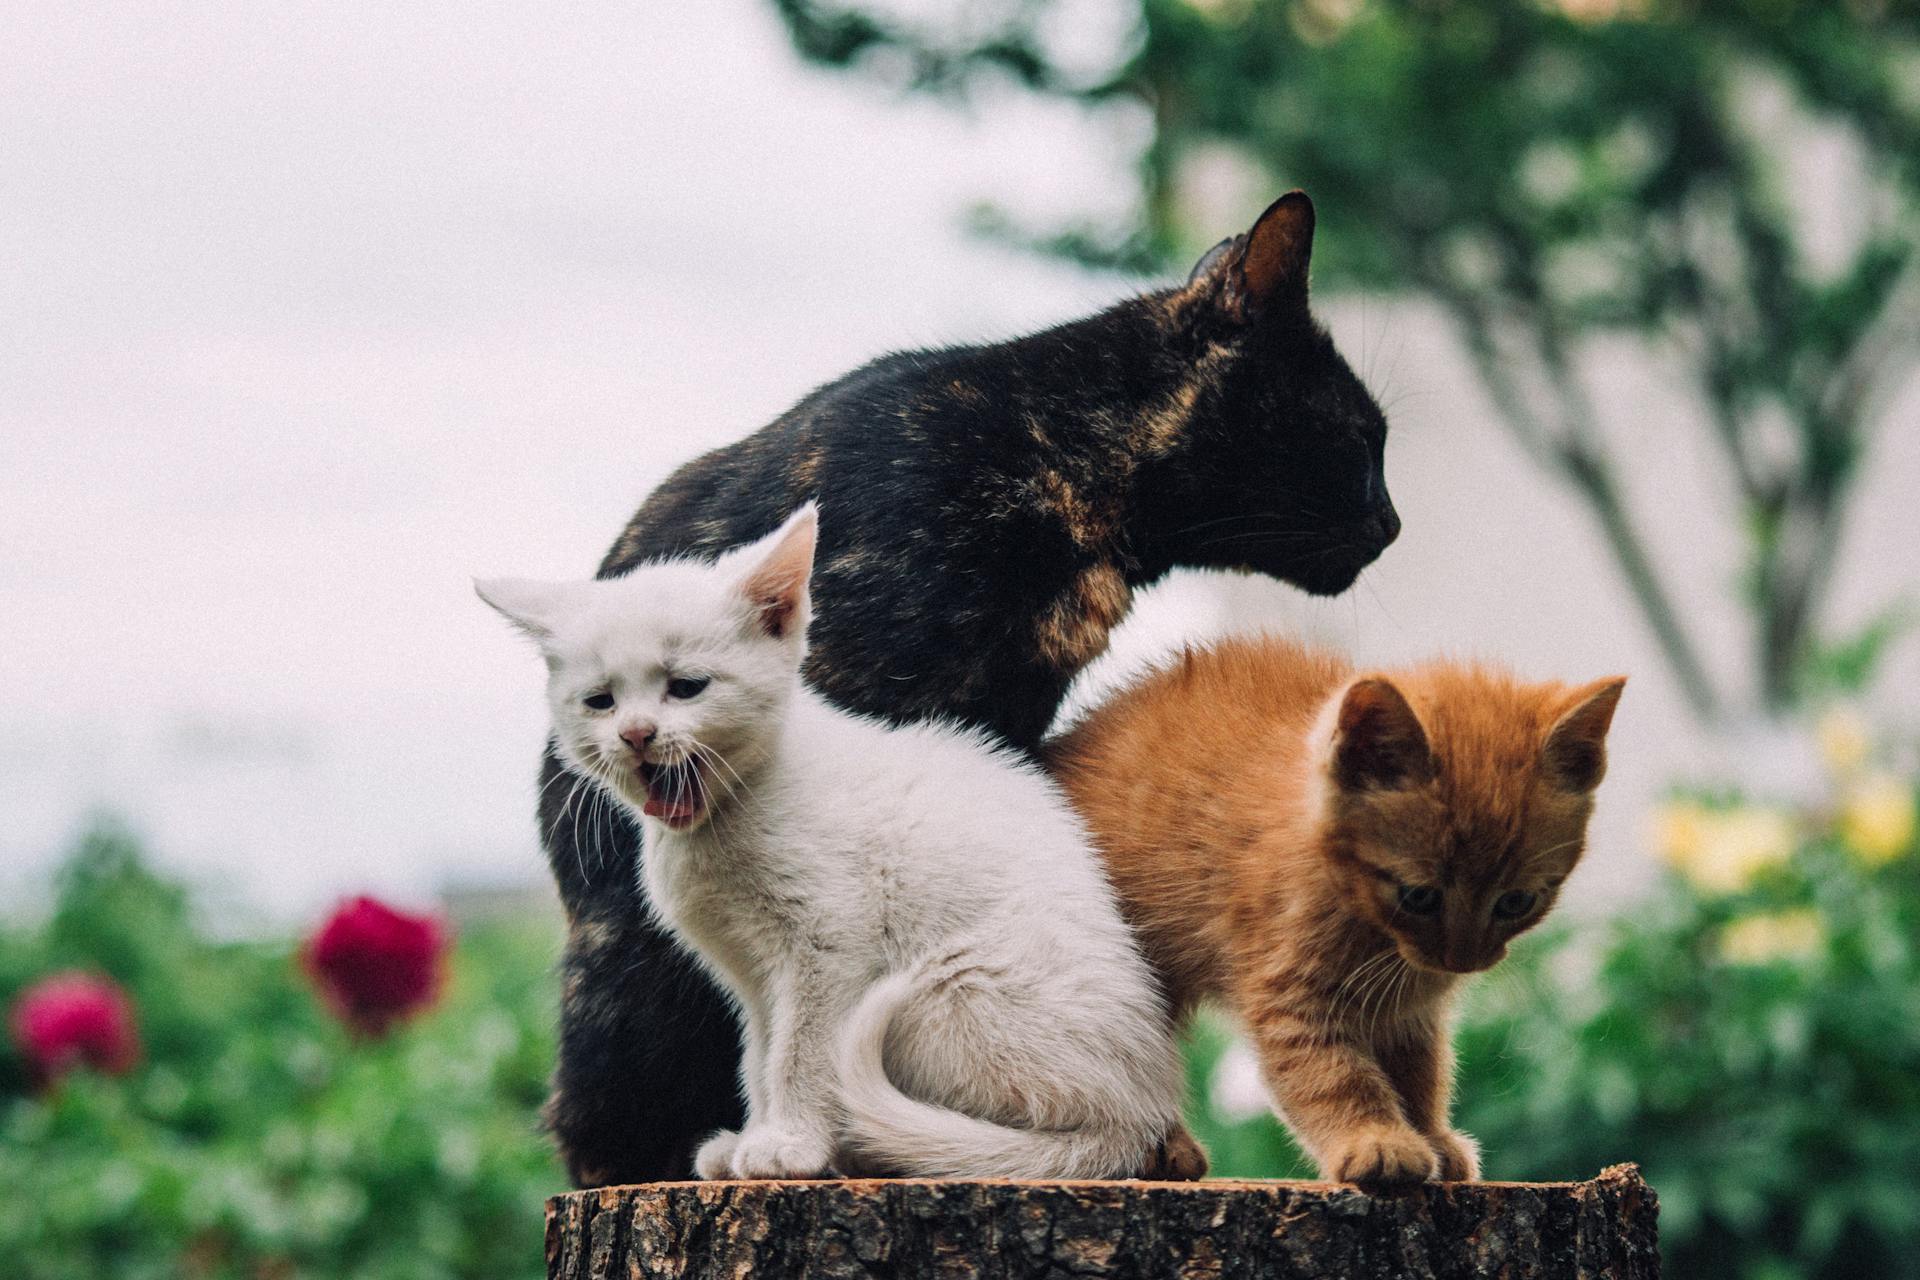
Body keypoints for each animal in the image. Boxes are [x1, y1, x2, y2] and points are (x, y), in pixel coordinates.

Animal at [480, 502, 1182, 1182]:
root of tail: (1142, 1111)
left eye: (686, 686)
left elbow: (801, 1051)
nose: (636, 733)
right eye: (600, 701)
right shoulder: (750, 971)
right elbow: (760, 1051)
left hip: (949, 993)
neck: (723, 820)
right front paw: (756, 1137)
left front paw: (791, 1146)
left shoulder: (831, 941)